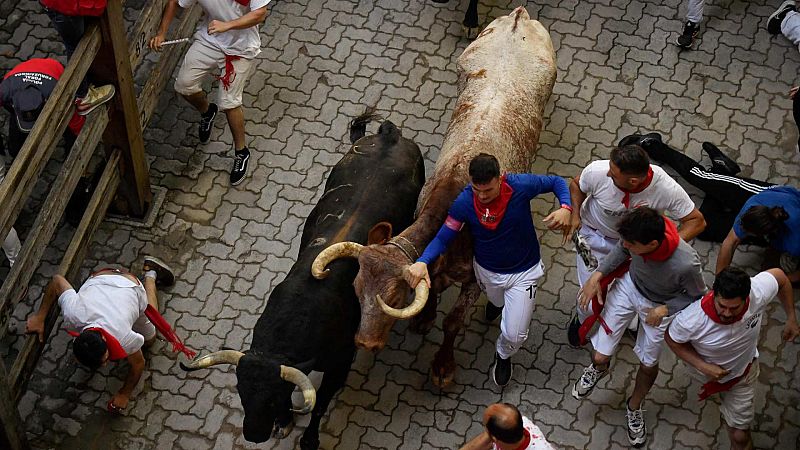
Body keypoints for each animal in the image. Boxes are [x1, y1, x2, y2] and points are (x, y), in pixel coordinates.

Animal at [181, 114, 424, 448]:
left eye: (271, 398)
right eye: (242, 393)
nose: (254, 435)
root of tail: (389, 135)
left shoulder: (339, 365)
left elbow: (320, 403)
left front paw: (309, 439)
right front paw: (284, 423)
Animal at [312, 6, 556, 386]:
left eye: (395, 295)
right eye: (356, 287)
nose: (364, 342)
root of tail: (517, 17)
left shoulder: (474, 281)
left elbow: (453, 322)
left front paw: (443, 366)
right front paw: (424, 317)